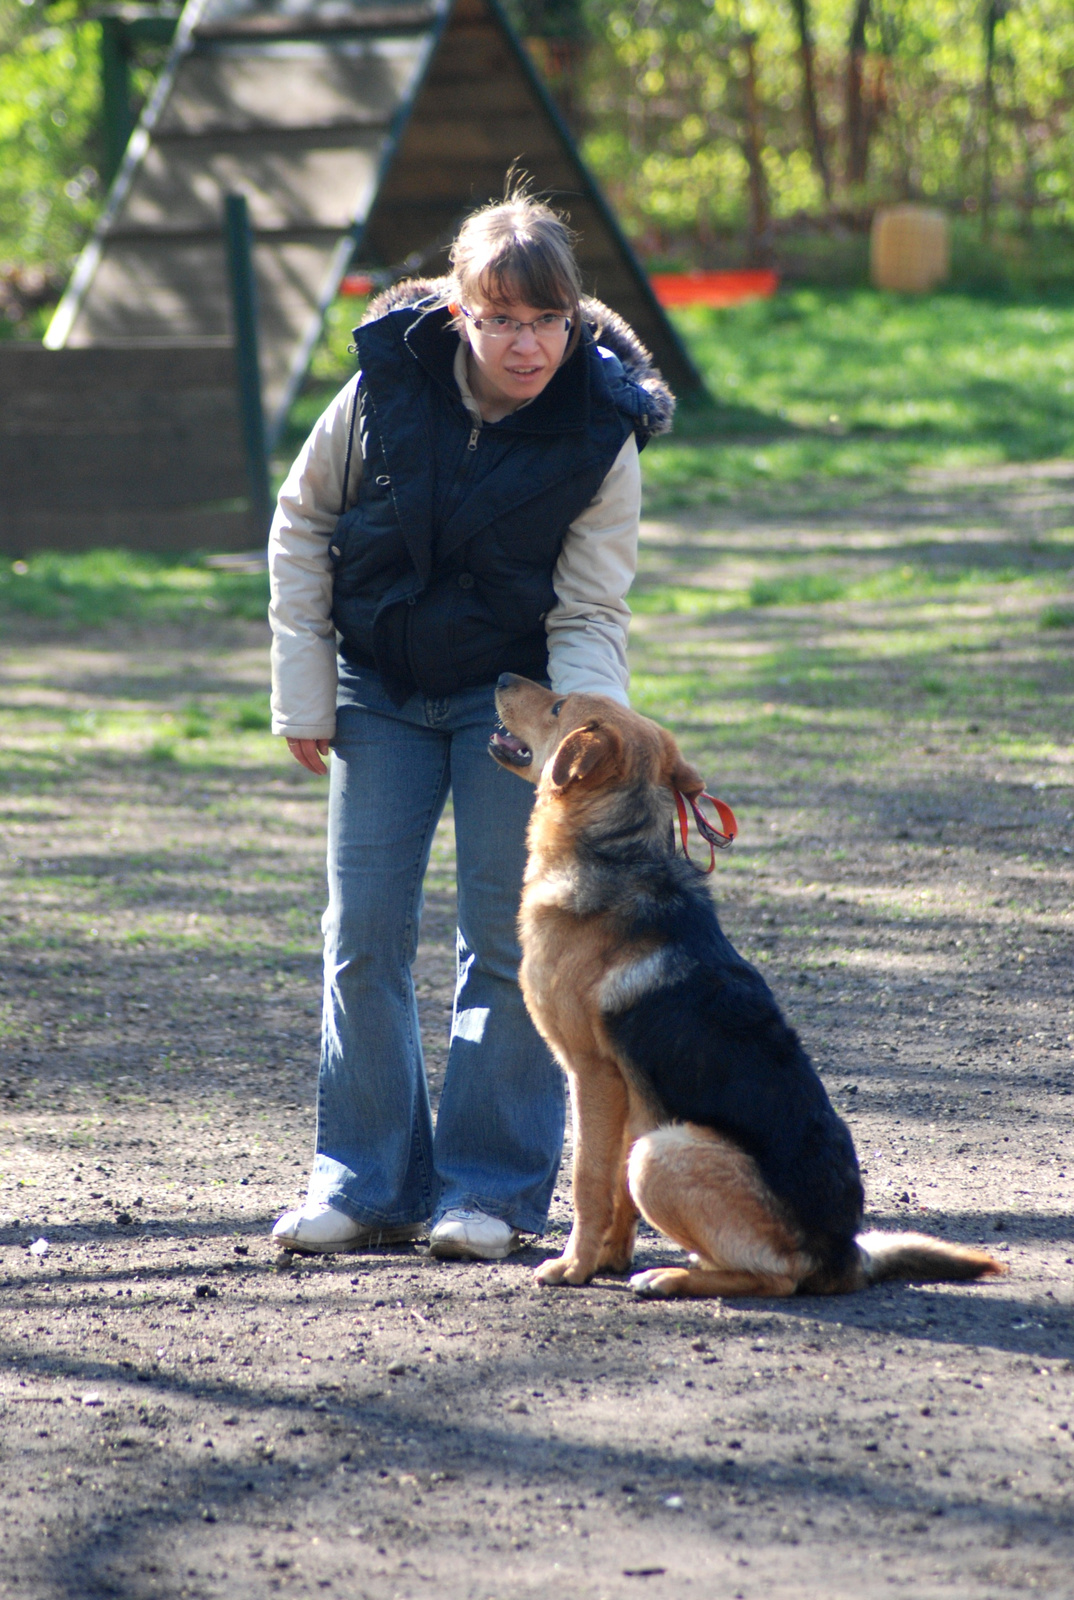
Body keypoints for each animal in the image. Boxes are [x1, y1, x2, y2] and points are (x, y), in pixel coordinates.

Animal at [492, 675, 1005, 1299]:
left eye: (559, 705)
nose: (500, 678)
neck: (615, 849)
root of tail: (843, 1256)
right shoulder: (630, 1096)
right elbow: (615, 1198)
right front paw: (608, 1260)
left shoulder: (593, 1075)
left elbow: (588, 1179)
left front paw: (574, 1267)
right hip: (656, 1139)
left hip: (662, 1152)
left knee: (776, 1279)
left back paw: (671, 1277)